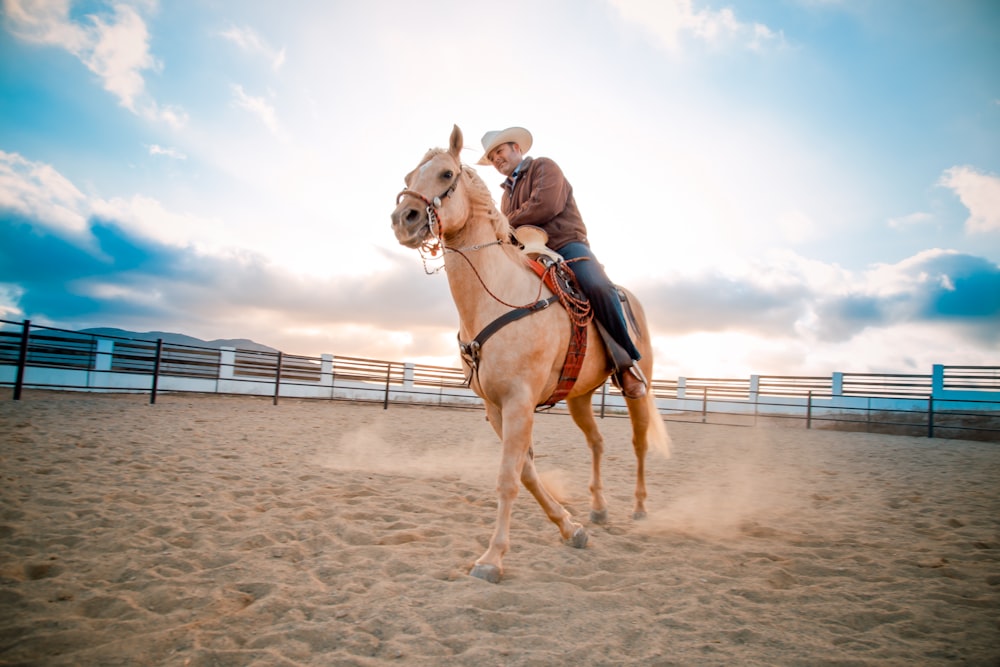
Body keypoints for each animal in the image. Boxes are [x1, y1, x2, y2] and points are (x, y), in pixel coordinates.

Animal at [392, 125, 672, 584]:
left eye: (446, 173)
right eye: (409, 176)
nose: (404, 219)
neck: (498, 297)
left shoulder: (519, 402)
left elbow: (508, 476)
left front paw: (491, 559)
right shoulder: (495, 407)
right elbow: (525, 471)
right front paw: (571, 528)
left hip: (637, 388)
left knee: (638, 442)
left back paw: (640, 507)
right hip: (579, 396)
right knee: (597, 442)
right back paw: (598, 509)